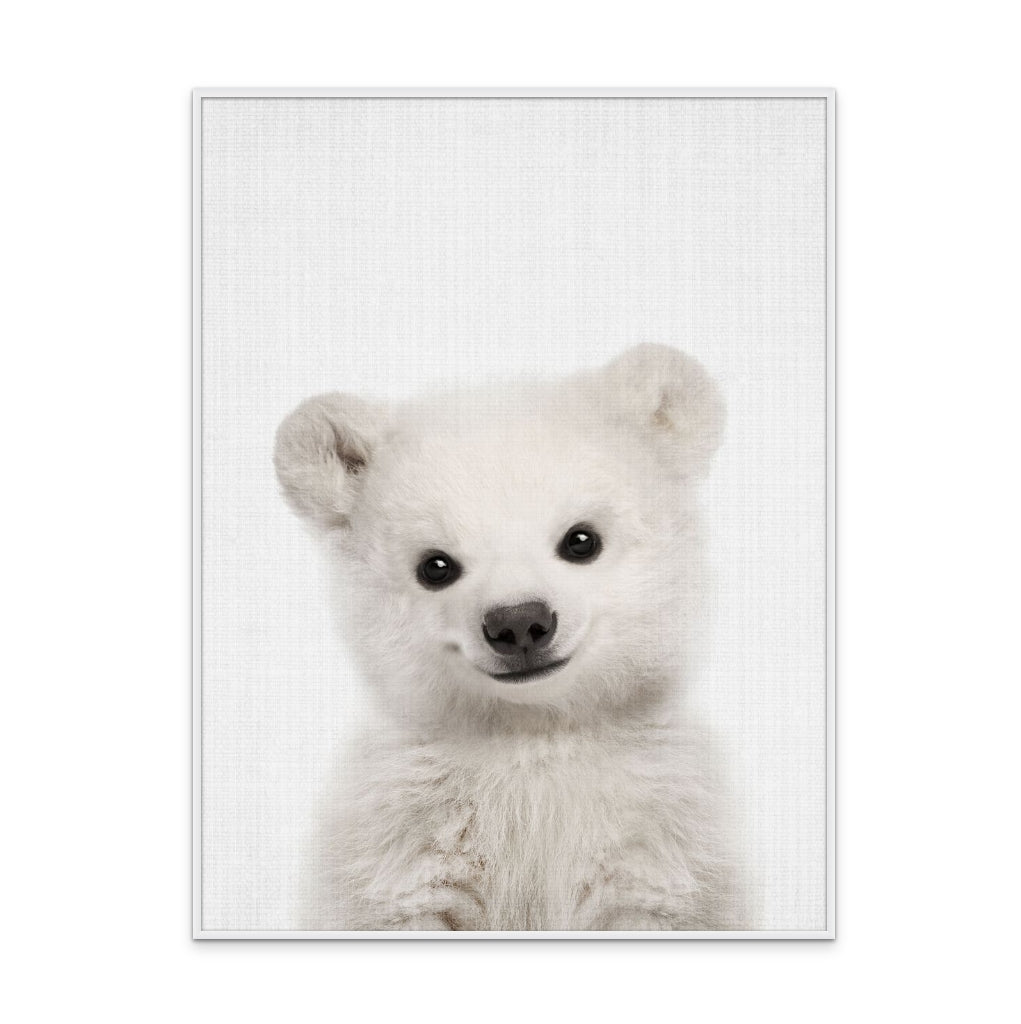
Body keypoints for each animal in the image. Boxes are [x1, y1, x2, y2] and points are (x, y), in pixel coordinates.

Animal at [274, 343, 740, 931]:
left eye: (582, 539)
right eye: (435, 566)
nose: (519, 622)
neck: (531, 736)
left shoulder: (656, 839)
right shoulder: (404, 841)